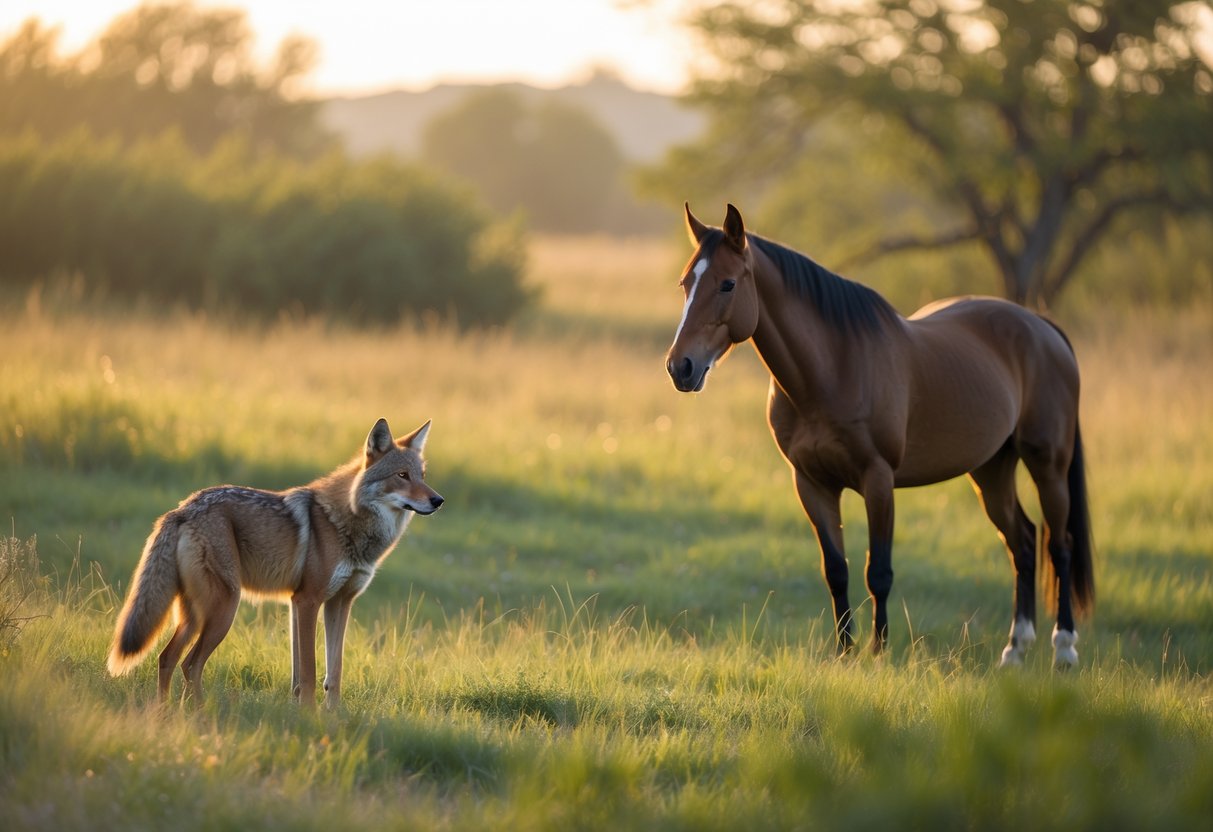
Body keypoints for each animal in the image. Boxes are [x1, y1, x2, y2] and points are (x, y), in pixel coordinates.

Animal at [665, 204, 1094, 667]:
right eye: (685, 283)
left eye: (727, 283)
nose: (680, 367)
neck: (833, 370)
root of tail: (1042, 327)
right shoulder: (811, 484)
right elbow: (836, 571)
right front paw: (844, 652)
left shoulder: (878, 480)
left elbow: (879, 572)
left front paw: (879, 652)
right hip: (991, 470)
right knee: (1024, 542)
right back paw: (1015, 648)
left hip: (1048, 464)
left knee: (1060, 545)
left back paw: (1064, 648)